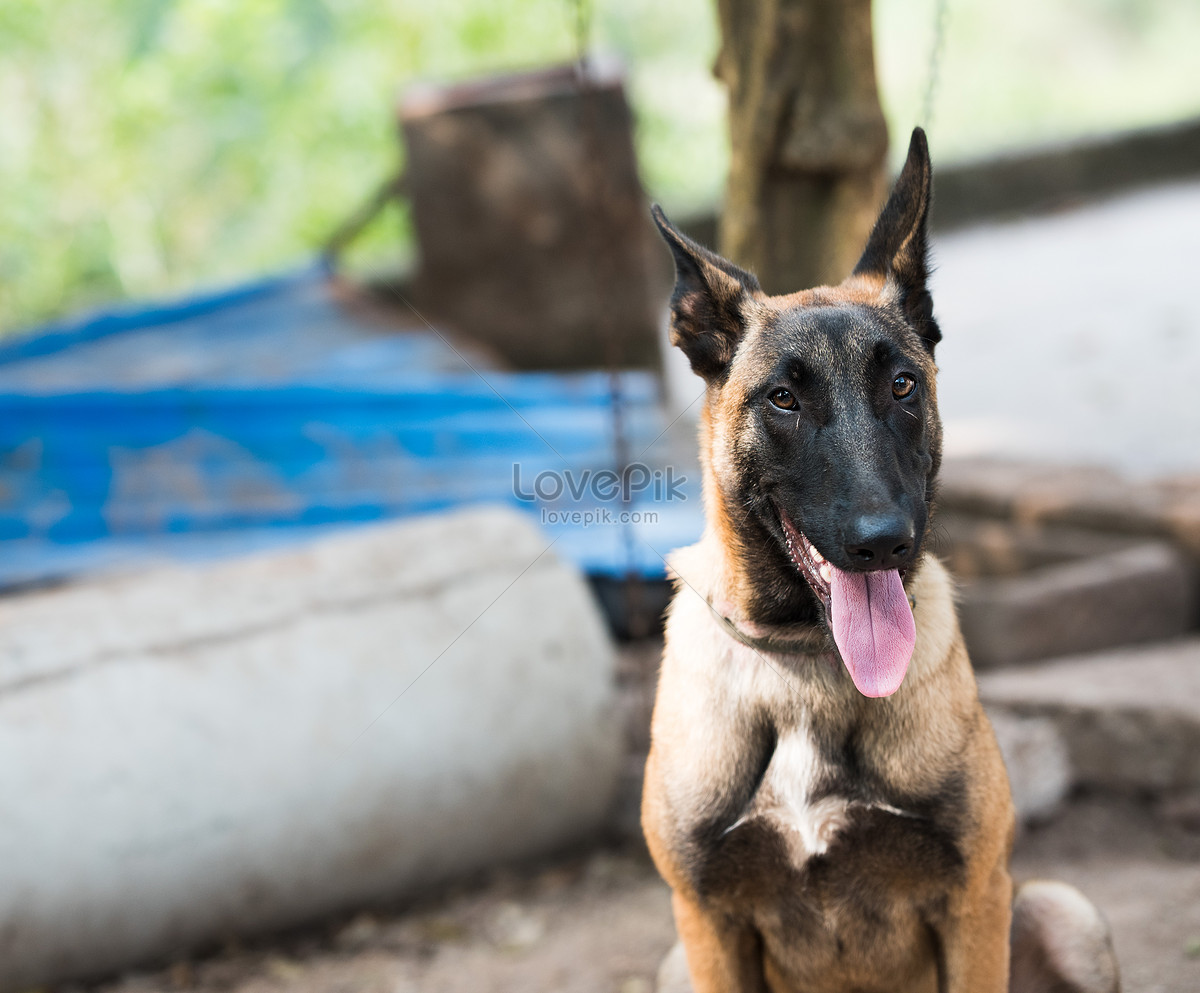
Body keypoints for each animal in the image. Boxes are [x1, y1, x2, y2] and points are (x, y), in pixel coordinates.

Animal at [643, 127, 1118, 988]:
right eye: (784, 398)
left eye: (902, 385)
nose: (883, 540)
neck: (806, 662)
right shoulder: (706, 922)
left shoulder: (974, 898)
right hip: (673, 964)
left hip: (1060, 911)